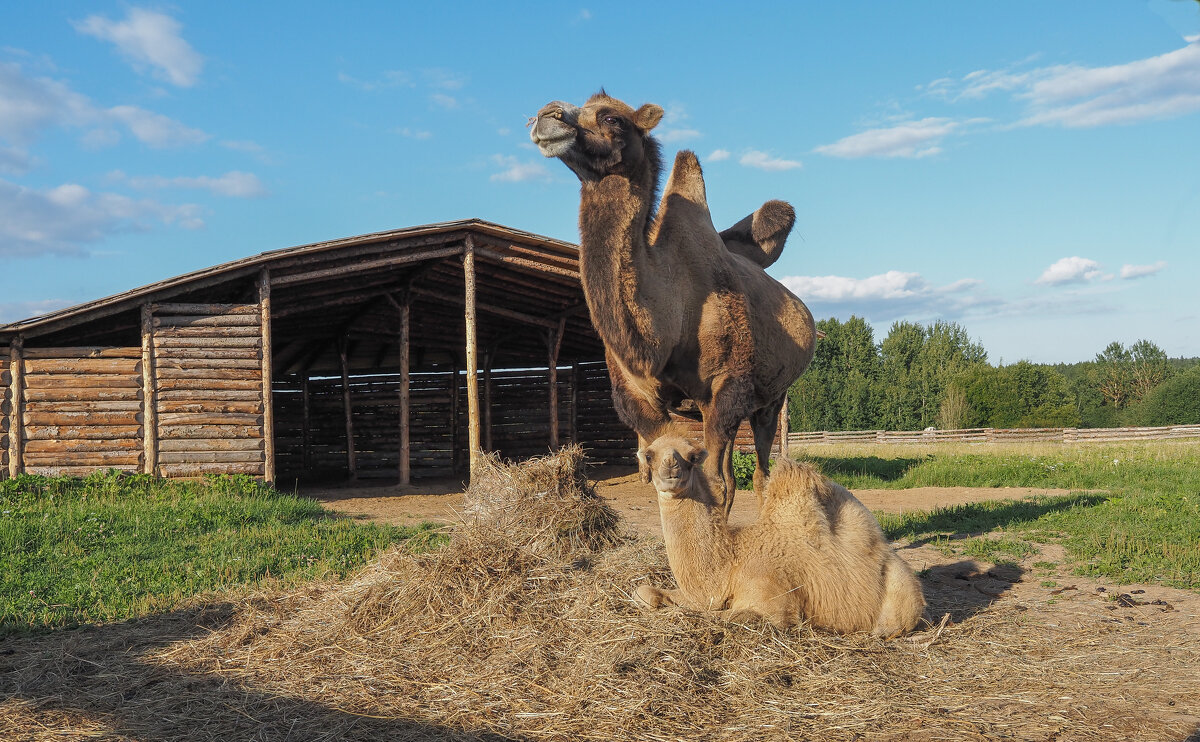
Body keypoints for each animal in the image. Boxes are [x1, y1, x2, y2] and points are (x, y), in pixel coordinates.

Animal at [532, 91, 816, 509]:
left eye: (612, 117)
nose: (544, 116)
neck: (671, 319)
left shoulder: (727, 387)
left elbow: (713, 483)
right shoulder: (636, 398)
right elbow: (669, 476)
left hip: (771, 398)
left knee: (761, 472)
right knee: (737, 473)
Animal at [638, 432, 926, 633]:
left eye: (692, 457)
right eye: (650, 455)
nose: (671, 466)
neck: (730, 565)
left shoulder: (775, 604)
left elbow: (722, 616)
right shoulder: (698, 595)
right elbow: (642, 592)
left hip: (902, 588)